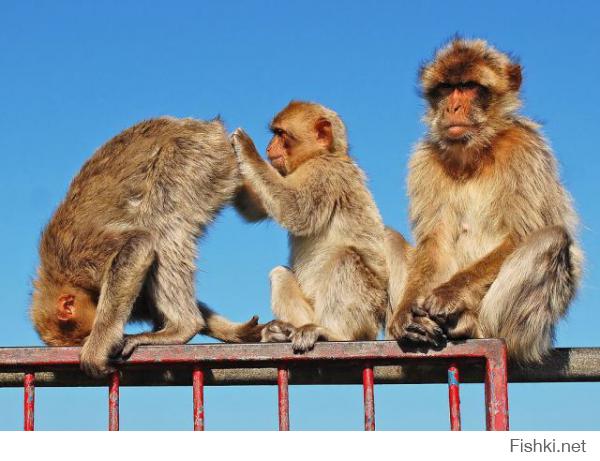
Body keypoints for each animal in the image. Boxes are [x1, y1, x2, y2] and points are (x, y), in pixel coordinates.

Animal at [29, 117, 260, 376]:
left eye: (84, 337)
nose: (89, 339)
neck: (57, 275)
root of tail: (208, 126)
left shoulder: (80, 255)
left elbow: (139, 244)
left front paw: (98, 346)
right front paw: (231, 331)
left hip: (192, 158)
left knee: (161, 227)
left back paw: (183, 327)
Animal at [230, 100, 390, 350]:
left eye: (280, 134)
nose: (268, 148)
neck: (326, 154)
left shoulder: (323, 172)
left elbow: (295, 211)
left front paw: (245, 148)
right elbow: (252, 208)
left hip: (368, 311)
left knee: (345, 259)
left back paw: (334, 334)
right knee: (280, 273)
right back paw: (284, 331)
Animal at [386, 38, 584, 362]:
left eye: (468, 86)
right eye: (447, 88)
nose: (453, 106)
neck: (474, 155)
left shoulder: (524, 149)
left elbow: (522, 233)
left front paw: (449, 293)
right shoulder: (425, 160)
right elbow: (434, 242)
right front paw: (405, 315)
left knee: (551, 238)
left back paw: (471, 325)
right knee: (386, 236)